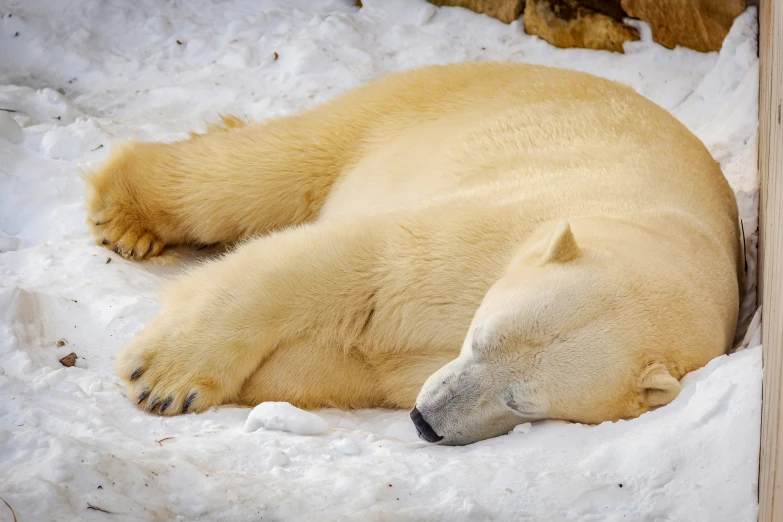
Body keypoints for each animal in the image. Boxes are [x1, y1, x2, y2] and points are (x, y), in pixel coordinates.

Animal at [82, 60, 744, 442]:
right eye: (481, 338)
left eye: (523, 401)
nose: (425, 422)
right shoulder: (494, 225)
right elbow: (349, 261)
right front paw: (162, 378)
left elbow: (349, 361)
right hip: (410, 107)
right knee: (261, 171)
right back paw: (127, 216)